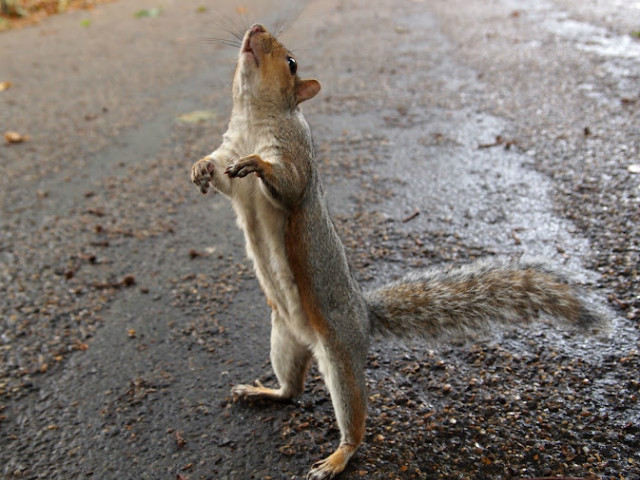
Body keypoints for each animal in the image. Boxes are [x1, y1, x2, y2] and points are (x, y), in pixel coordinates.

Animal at [189, 23, 600, 480]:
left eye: (292, 62)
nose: (257, 27)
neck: (253, 118)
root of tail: (362, 315)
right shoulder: (229, 149)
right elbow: (220, 173)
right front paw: (199, 168)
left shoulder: (296, 155)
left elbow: (289, 184)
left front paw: (258, 165)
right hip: (282, 340)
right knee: (291, 390)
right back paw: (263, 392)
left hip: (340, 356)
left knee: (353, 417)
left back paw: (337, 457)